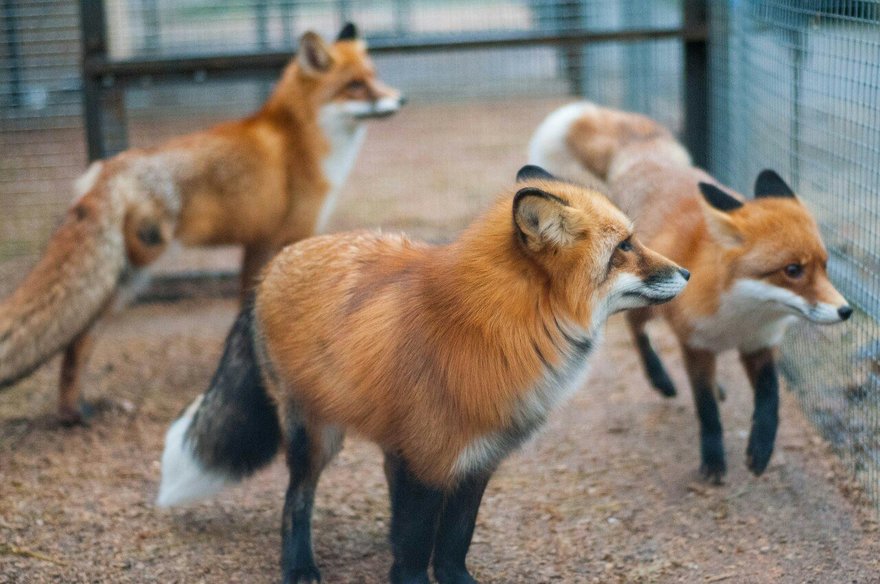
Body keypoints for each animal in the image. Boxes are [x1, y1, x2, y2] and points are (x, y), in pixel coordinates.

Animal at [0, 23, 404, 424]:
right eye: (355, 85)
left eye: (374, 77)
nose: (401, 99)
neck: (302, 140)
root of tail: (109, 167)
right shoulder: (279, 238)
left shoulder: (257, 242)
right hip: (134, 269)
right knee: (79, 337)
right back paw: (75, 413)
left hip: (127, 278)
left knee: (78, 341)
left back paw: (73, 411)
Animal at [155, 165, 690, 584]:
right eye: (625, 246)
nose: (686, 272)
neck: (496, 326)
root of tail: (272, 268)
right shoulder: (429, 456)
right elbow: (414, 548)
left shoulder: (475, 459)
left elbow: (453, 542)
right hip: (316, 436)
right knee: (295, 502)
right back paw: (300, 567)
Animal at [529, 102, 852, 482]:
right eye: (792, 270)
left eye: (825, 265)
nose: (846, 311)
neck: (740, 317)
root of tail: (644, 156)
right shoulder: (695, 346)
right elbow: (706, 409)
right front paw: (713, 460)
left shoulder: (759, 345)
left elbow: (770, 399)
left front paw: (761, 449)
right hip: (651, 298)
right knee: (637, 331)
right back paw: (660, 379)